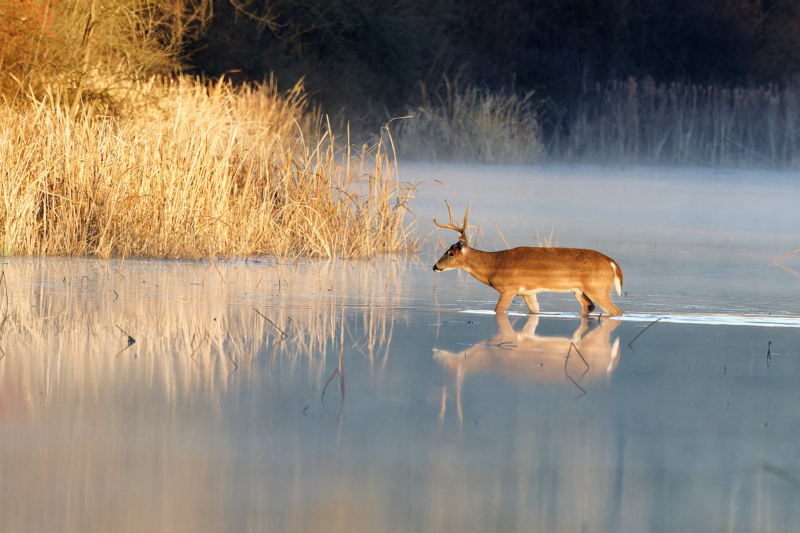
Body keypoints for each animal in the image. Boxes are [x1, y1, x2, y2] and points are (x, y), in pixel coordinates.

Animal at [434, 202, 620, 314]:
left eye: (451, 253)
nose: (435, 266)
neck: (494, 265)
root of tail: (613, 264)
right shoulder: (528, 292)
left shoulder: (508, 288)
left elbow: (498, 310)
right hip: (579, 290)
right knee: (589, 306)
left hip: (598, 288)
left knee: (615, 311)